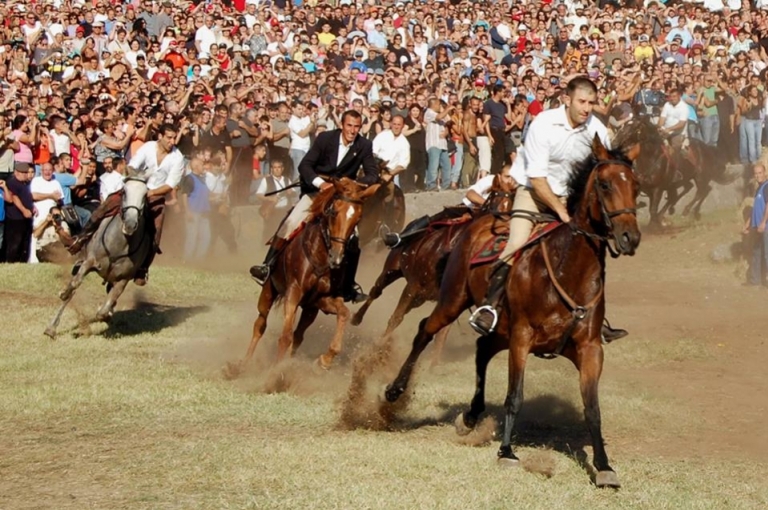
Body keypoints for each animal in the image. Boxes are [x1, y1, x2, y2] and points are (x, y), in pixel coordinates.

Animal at [45, 176, 154, 338]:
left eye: (145, 195)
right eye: (124, 192)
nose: (130, 224)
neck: (120, 244)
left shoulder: (123, 279)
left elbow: (103, 311)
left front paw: (106, 314)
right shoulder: (89, 262)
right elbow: (74, 284)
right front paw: (63, 293)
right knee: (73, 291)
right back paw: (51, 328)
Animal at [226, 177, 382, 376]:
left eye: (358, 218)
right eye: (333, 212)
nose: (337, 257)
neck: (321, 256)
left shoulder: (322, 300)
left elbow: (344, 314)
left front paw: (324, 360)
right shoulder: (293, 293)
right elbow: (284, 336)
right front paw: (275, 371)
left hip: (309, 309)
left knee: (298, 335)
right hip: (269, 291)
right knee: (260, 325)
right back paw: (242, 365)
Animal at [352, 173, 516, 364]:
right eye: (495, 199)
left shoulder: (448, 300)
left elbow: (440, 336)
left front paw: (432, 364)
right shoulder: (413, 286)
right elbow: (396, 318)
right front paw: (377, 351)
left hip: (420, 297)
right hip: (392, 269)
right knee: (376, 291)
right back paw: (356, 318)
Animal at [384, 137, 640, 488]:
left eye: (637, 186)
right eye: (604, 184)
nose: (630, 237)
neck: (567, 268)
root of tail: (476, 223)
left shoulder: (590, 349)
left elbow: (592, 408)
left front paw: (603, 466)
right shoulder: (521, 338)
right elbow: (514, 396)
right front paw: (507, 451)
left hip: (497, 327)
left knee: (482, 348)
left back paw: (471, 415)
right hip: (452, 301)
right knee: (425, 330)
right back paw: (395, 390)